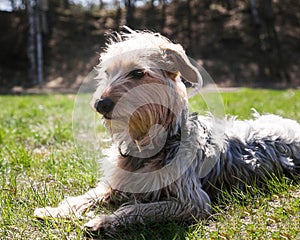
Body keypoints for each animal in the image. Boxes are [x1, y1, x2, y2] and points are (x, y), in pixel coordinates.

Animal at [34, 27, 300, 232]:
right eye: (107, 74)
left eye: (138, 72)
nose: (100, 104)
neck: (147, 142)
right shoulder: (117, 182)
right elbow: (89, 195)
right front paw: (55, 210)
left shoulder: (191, 202)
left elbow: (139, 208)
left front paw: (104, 220)